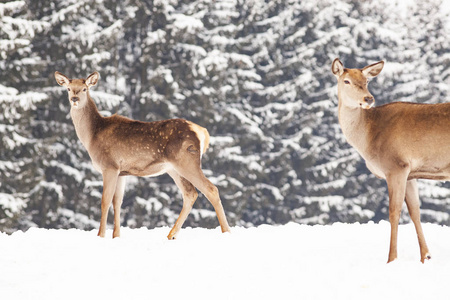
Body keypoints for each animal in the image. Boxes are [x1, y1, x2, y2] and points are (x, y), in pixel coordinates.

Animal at [55, 70, 230, 239]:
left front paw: (101, 235)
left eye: (85, 88)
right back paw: (171, 235)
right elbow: (117, 202)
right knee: (190, 194)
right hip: (173, 168)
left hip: (186, 160)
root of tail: (202, 131)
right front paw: (116, 236)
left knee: (211, 189)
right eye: (68, 88)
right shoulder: (121, 172)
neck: (92, 136)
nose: (74, 98)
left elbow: (105, 201)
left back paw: (226, 232)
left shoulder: (109, 166)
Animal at [330, 58, 450, 262]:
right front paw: (426, 257)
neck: (368, 141)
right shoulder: (410, 173)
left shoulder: (395, 165)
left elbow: (394, 212)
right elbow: (415, 212)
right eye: (346, 81)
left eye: (366, 81)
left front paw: (391, 258)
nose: (368, 99)